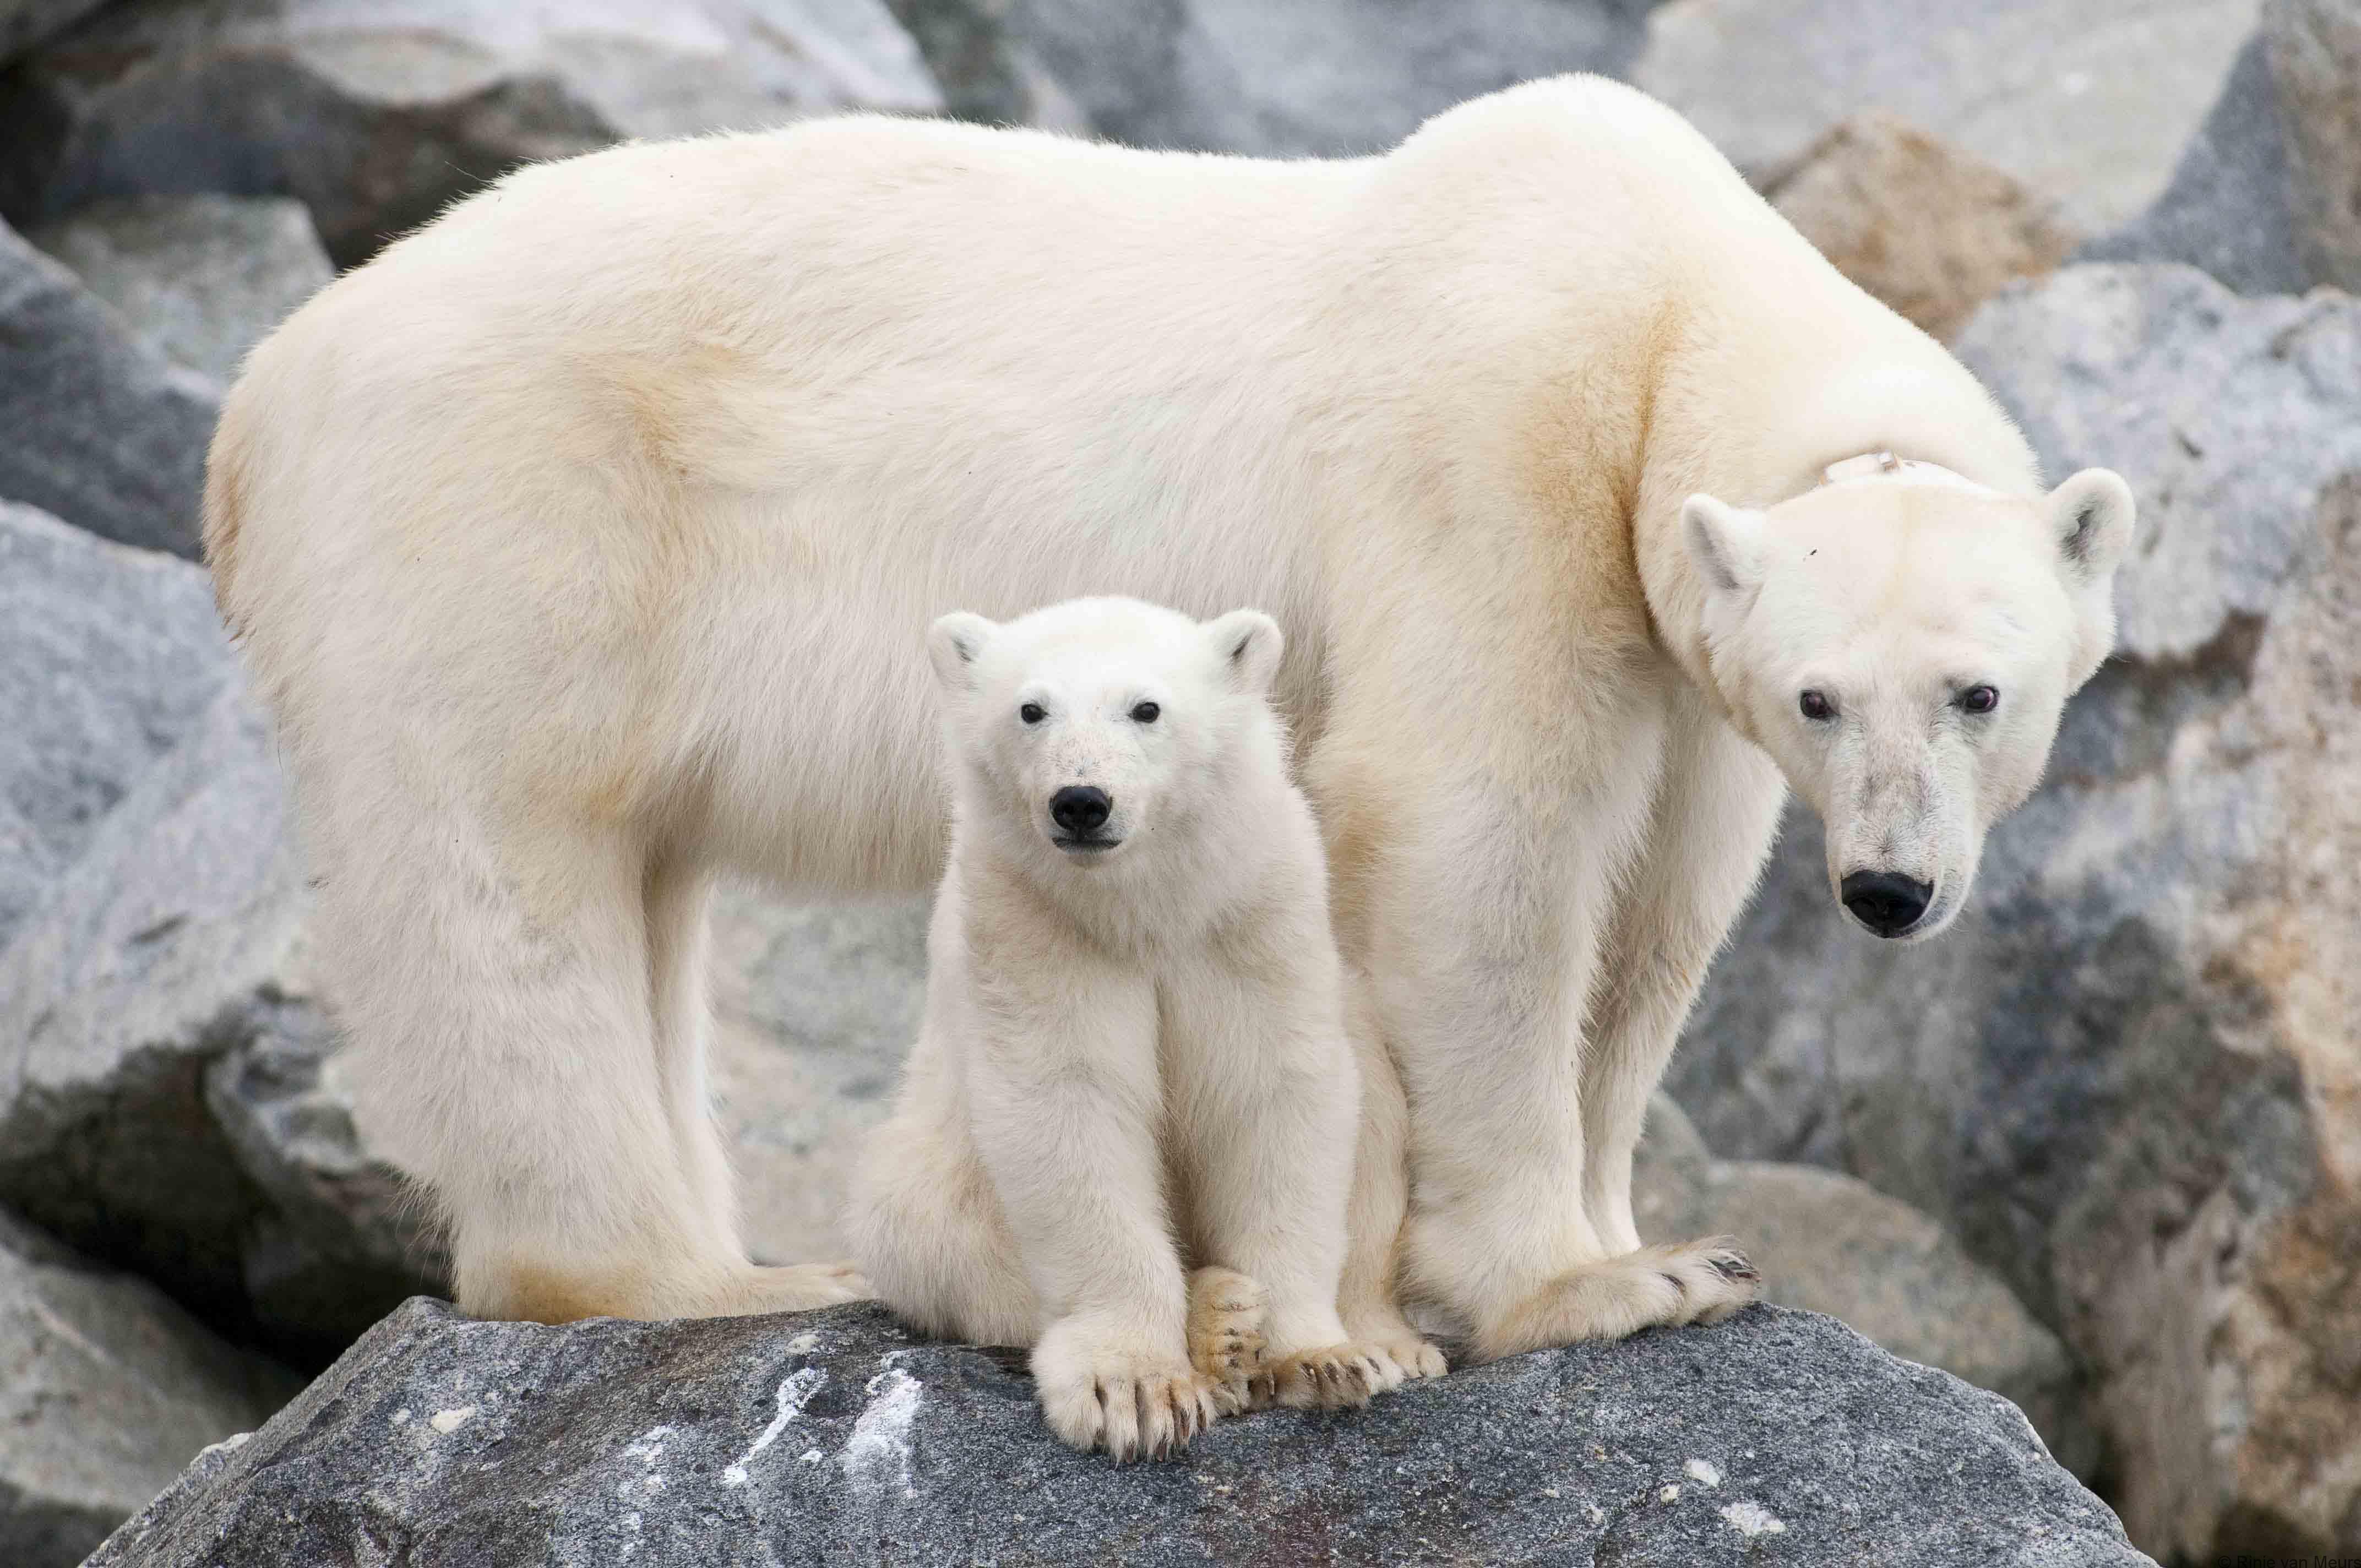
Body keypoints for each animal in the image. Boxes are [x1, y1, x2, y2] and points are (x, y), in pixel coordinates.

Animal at [212, 77, 2144, 1360]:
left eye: (1979, 692)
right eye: (1828, 694)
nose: (1889, 890)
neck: (1666, 299)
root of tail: (265, 387)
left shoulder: (1677, 656)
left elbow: (1660, 916)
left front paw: (1654, 1228)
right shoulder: (1493, 452)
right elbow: (1471, 833)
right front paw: (1589, 1280)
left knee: (645, 886)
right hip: (505, 519)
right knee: (508, 872)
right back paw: (700, 1275)